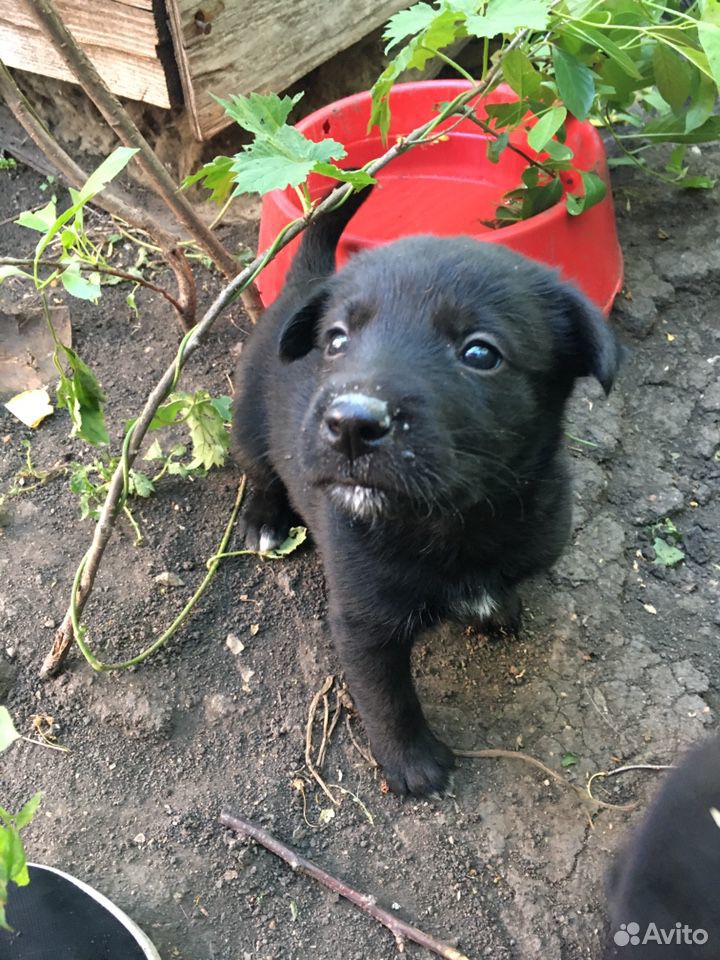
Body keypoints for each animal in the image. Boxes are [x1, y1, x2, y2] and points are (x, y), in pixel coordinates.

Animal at [233, 193, 620, 796]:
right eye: (337, 340)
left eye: (480, 354)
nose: (351, 424)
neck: (456, 521)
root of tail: (305, 282)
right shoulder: (363, 619)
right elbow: (386, 697)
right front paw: (412, 763)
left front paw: (497, 608)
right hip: (250, 422)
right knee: (259, 472)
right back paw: (263, 519)